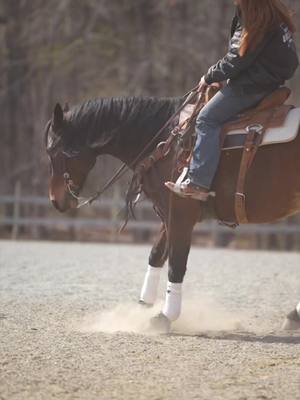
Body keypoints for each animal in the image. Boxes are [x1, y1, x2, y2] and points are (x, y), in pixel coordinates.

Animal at [44, 94, 300, 332]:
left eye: (54, 151)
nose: (55, 200)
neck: (167, 144)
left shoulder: (181, 214)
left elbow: (176, 263)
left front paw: (165, 317)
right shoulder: (166, 213)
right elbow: (156, 255)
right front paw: (142, 307)